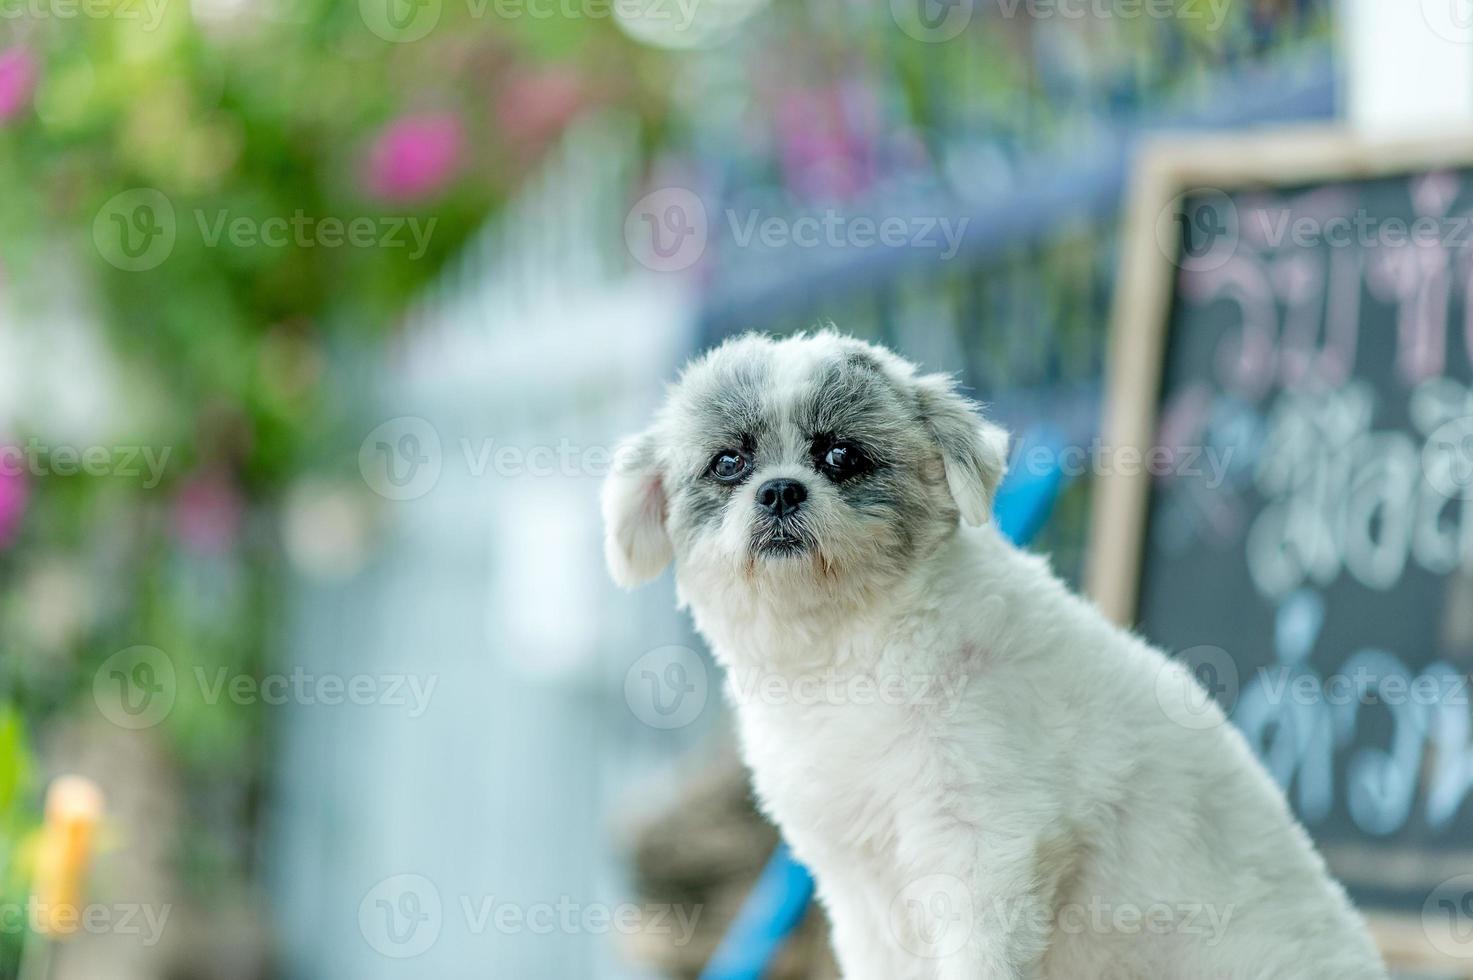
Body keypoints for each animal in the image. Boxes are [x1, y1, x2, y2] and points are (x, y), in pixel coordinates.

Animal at [598, 330, 1378, 978]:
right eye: (728, 463)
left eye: (841, 457)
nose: (780, 489)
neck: (851, 654)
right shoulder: (858, 889)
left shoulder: (985, 856)